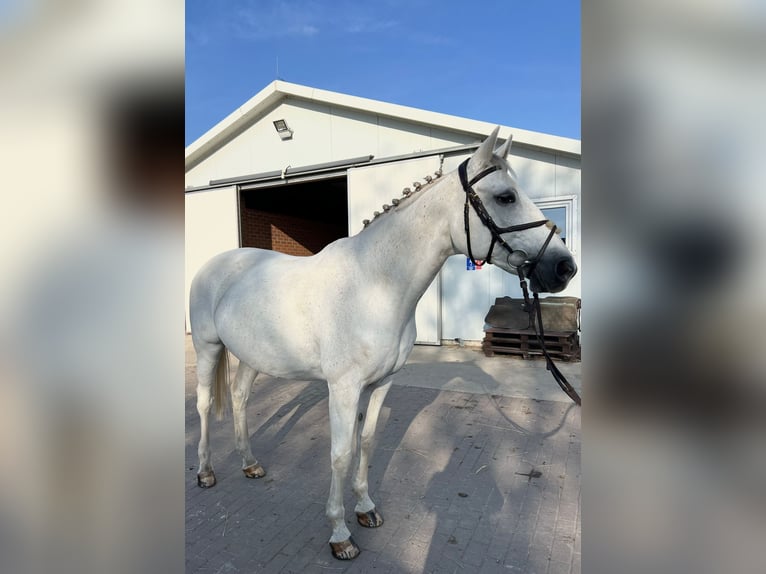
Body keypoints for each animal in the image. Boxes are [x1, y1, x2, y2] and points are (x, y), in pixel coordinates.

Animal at [190, 127, 576, 564]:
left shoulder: (380, 384)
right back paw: (205, 472)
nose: (564, 267)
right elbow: (341, 454)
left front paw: (366, 509)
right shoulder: (343, 388)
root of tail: (215, 264)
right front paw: (340, 533)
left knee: (239, 399)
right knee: (204, 404)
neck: (374, 284)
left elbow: (367, 442)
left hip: (252, 356)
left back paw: (251, 464)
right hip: (207, 348)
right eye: (505, 197)